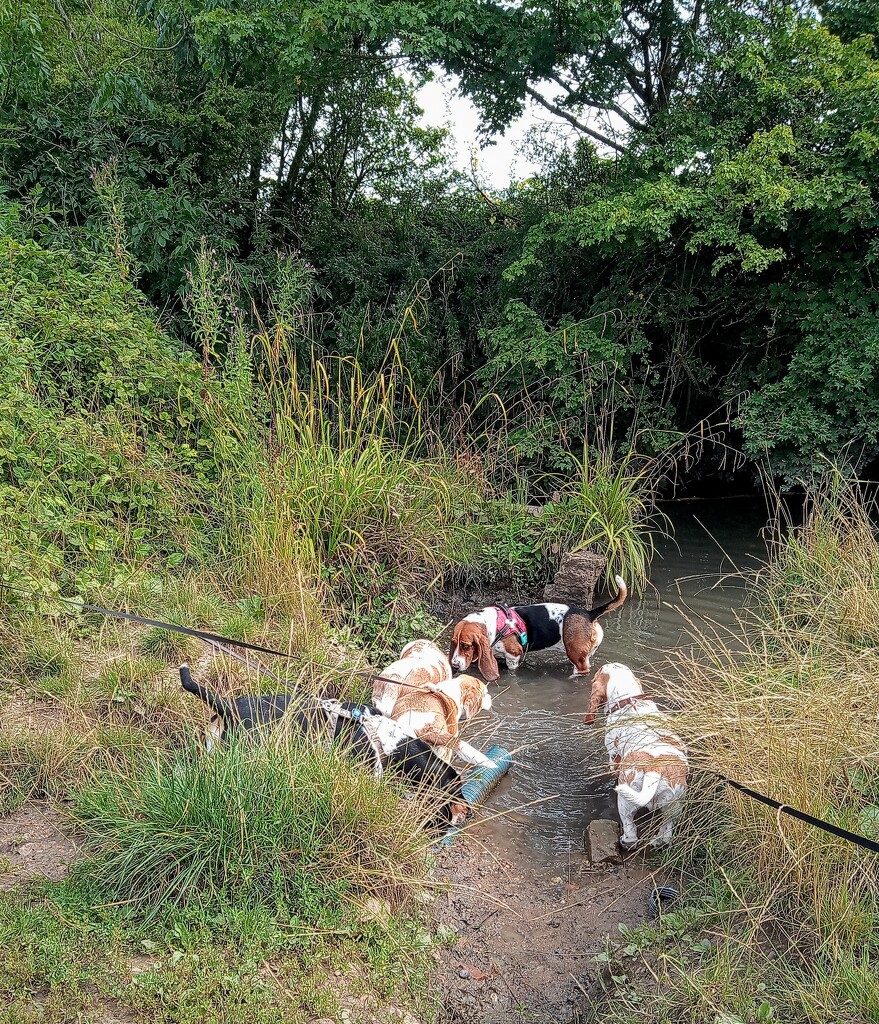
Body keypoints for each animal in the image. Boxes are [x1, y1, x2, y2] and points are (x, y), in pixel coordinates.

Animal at [581, 663, 684, 847]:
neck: (629, 700)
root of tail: (654, 770)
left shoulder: (613, 756)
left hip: (625, 803)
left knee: (631, 833)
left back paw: (624, 841)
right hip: (673, 807)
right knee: (667, 831)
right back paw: (658, 841)